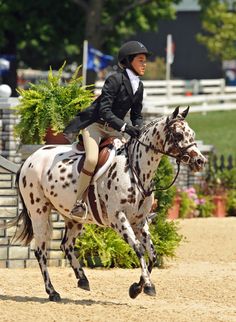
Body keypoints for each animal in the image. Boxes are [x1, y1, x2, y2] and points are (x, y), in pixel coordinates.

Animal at [4, 106, 206, 302]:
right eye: (178, 135)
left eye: (192, 134)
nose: (200, 161)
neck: (135, 171)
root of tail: (28, 161)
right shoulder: (118, 219)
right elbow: (139, 248)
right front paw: (147, 286)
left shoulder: (140, 222)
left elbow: (153, 254)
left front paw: (136, 288)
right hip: (39, 211)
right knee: (41, 251)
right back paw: (52, 292)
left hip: (73, 218)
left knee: (65, 245)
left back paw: (82, 279)